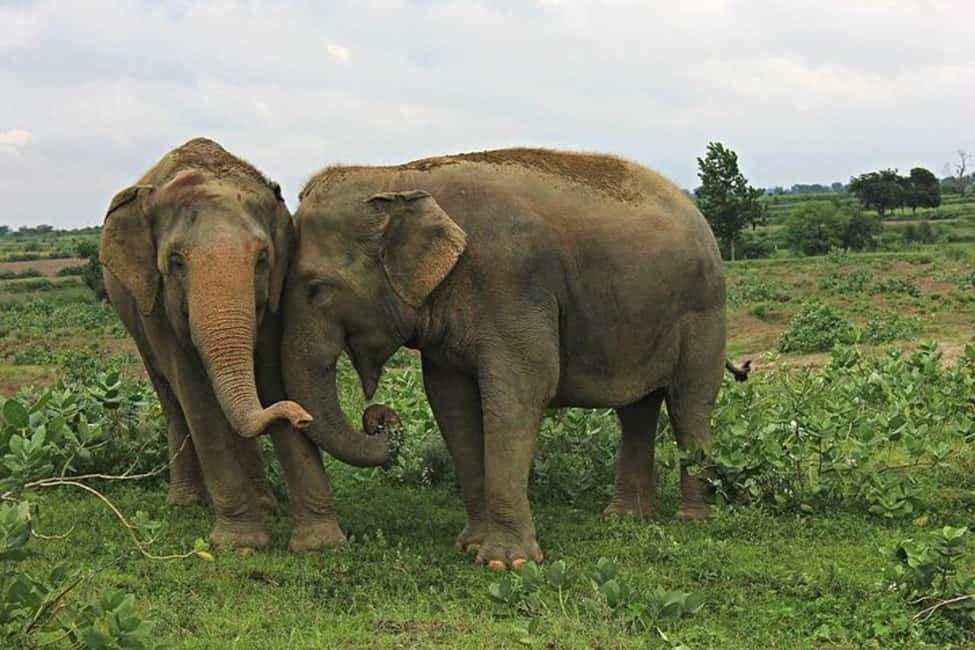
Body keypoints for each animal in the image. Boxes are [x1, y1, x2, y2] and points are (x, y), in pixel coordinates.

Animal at [100, 137, 397, 550]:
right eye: (175, 261)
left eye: (262, 259)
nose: (302, 416)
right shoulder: (156, 306)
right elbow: (197, 396)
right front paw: (240, 544)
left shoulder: (275, 297)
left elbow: (272, 378)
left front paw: (321, 543)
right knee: (173, 402)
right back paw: (186, 503)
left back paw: (265, 502)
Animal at [281, 147, 739, 569]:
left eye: (317, 289)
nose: (379, 418)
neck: (398, 175)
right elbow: (451, 403)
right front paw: (470, 547)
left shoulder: (513, 283)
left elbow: (520, 391)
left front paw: (507, 562)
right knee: (637, 411)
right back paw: (625, 517)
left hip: (705, 313)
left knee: (689, 403)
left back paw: (691, 518)